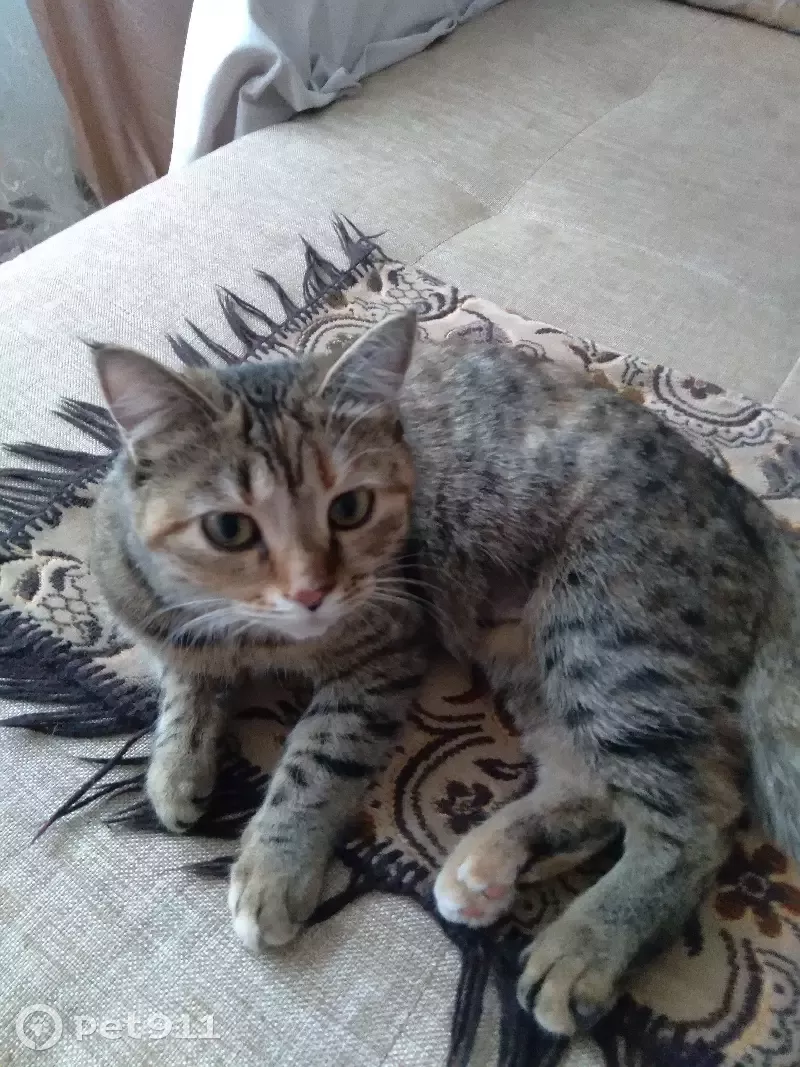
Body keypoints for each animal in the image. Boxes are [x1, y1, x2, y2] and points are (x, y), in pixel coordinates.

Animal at [92, 309, 800, 1037]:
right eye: (230, 529)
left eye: (349, 508)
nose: (312, 592)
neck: (258, 639)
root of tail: (742, 499)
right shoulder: (157, 617)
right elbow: (186, 680)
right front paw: (175, 763)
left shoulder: (383, 655)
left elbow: (314, 762)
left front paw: (273, 863)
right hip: (529, 653)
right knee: (592, 787)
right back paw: (490, 867)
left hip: (602, 640)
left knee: (697, 820)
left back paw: (586, 945)